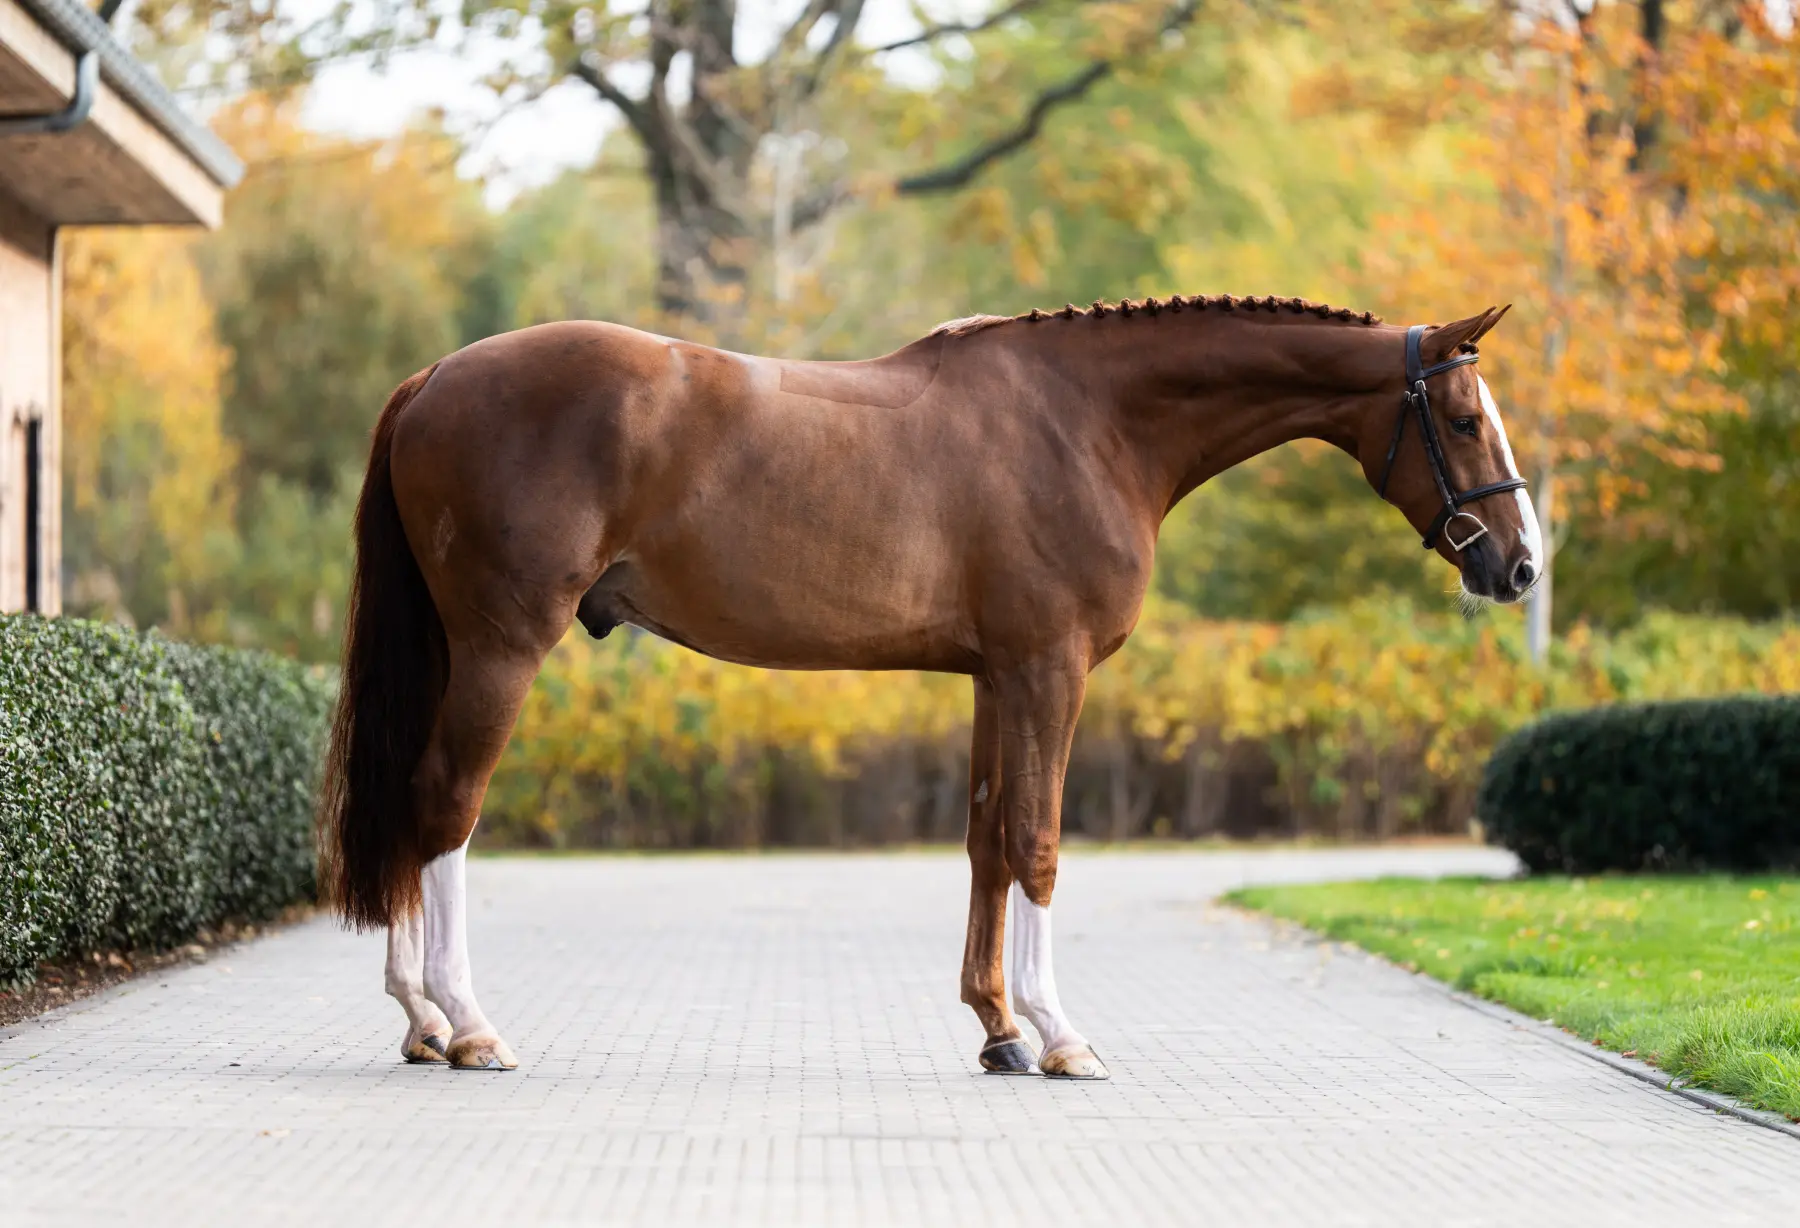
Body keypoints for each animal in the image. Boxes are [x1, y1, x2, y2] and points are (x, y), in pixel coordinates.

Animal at [318, 294, 1542, 1077]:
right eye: (1465, 419)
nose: (1519, 565)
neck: (1090, 423)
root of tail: (436, 377)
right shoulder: (1049, 671)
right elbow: (1040, 842)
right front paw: (1061, 1036)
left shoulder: (999, 677)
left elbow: (989, 840)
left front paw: (999, 1030)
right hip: (502, 646)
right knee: (446, 806)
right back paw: (468, 1025)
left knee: (416, 807)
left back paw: (422, 1023)